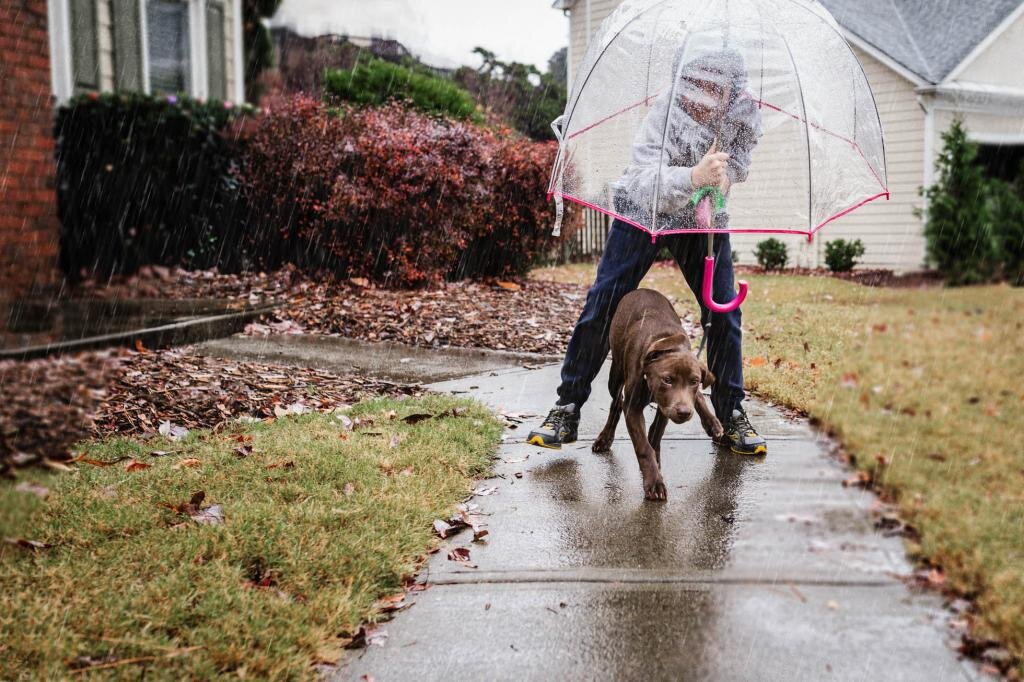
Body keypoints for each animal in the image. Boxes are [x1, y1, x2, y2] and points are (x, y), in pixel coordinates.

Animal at [589, 286, 724, 499]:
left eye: (694, 381)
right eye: (667, 380)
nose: (684, 412)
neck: (667, 344)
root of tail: (643, 289)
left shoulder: (666, 406)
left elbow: (657, 430)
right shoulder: (634, 408)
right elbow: (643, 447)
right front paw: (654, 482)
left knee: (697, 398)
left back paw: (713, 424)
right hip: (615, 373)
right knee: (616, 403)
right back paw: (605, 438)